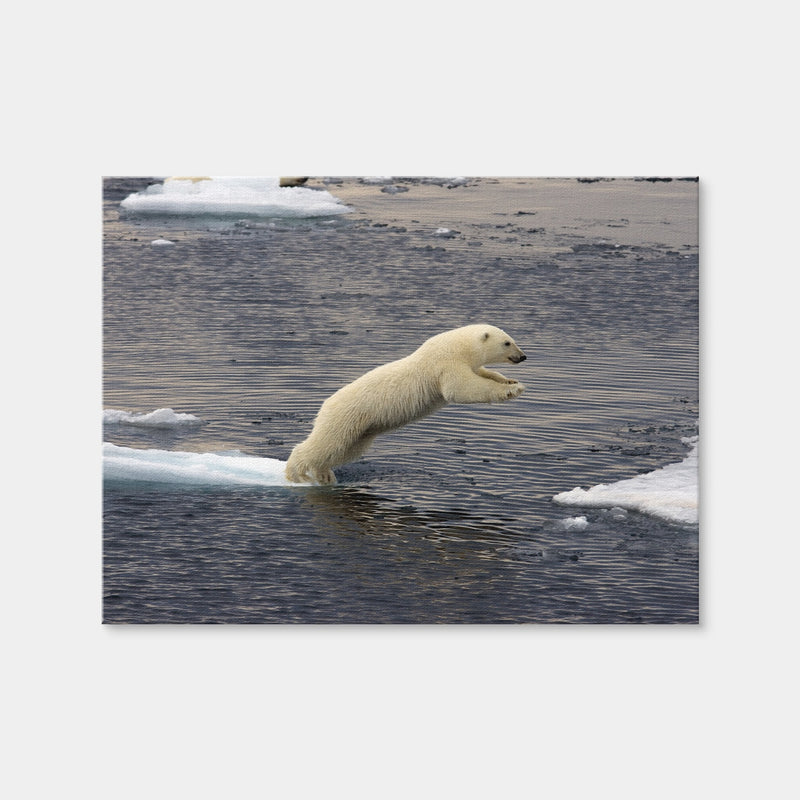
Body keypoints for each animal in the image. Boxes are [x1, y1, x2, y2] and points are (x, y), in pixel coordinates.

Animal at [285, 324, 527, 485]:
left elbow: (484, 373)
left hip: (362, 430)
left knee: (344, 450)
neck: (457, 346)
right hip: (347, 416)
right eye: (507, 342)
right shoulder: (445, 364)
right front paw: (511, 390)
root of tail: (325, 405)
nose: (523, 356)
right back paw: (296, 474)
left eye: (513, 338)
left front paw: (510, 381)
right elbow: (462, 389)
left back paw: (324, 474)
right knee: (326, 443)